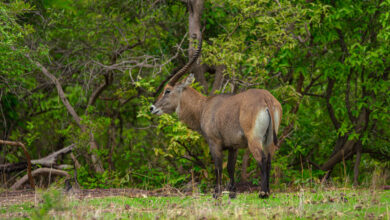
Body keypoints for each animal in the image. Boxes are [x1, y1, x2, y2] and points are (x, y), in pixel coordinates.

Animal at [151, 37, 282, 199]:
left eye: (167, 90)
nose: (152, 108)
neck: (204, 107)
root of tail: (266, 98)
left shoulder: (214, 143)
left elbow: (218, 167)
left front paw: (216, 193)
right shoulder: (233, 146)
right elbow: (231, 168)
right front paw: (232, 192)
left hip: (254, 139)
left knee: (262, 159)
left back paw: (263, 193)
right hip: (269, 140)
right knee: (269, 159)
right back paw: (268, 191)